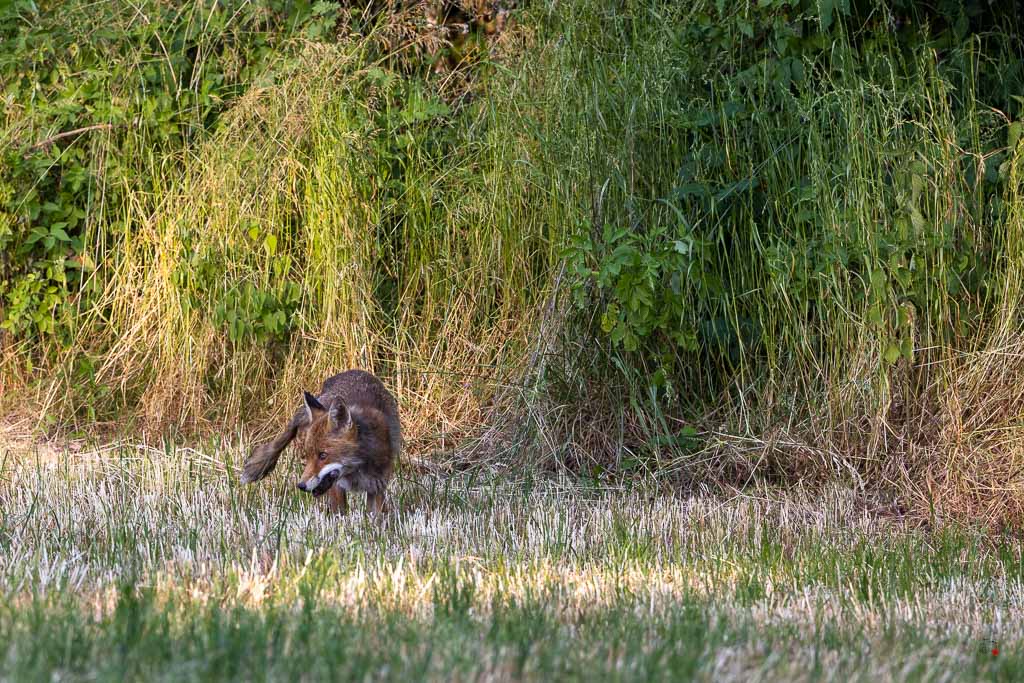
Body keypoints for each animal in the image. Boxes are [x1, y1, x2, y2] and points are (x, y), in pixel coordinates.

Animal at [240, 369, 401, 516]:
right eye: (308, 456)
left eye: (323, 455)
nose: (301, 486)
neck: (357, 468)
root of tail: (351, 371)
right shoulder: (337, 486)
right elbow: (340, 515)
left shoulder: (377, 486)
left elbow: (376, 519)